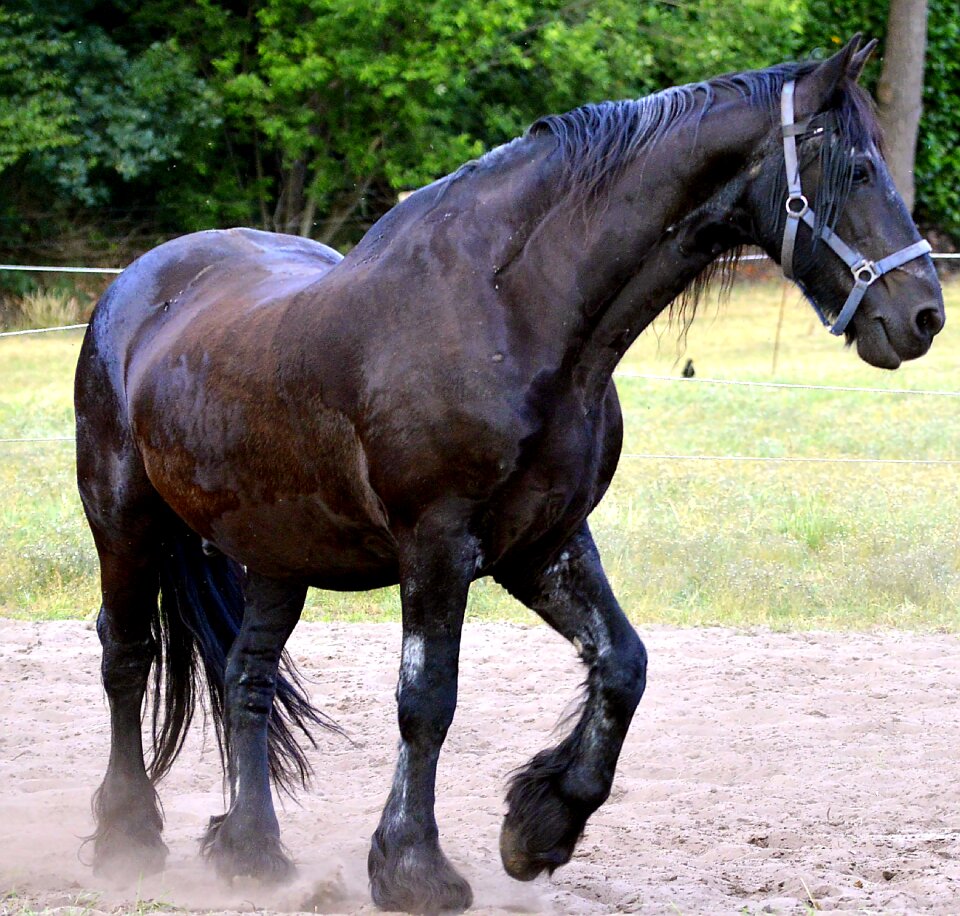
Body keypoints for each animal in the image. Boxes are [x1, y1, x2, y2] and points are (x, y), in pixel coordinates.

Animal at [77, 35, 944, 908]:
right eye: (859, 169)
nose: (925, 315)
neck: (511, 312)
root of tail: (138, 284)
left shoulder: (544, 543)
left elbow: (623, 665)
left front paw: (539, 827)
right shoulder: (436, 545)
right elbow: (427, 701)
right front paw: (414, 868)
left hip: (276, 552)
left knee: (245, 677)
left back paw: (253, 853)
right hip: (124, 520)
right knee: (126, 656)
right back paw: (127, 838)